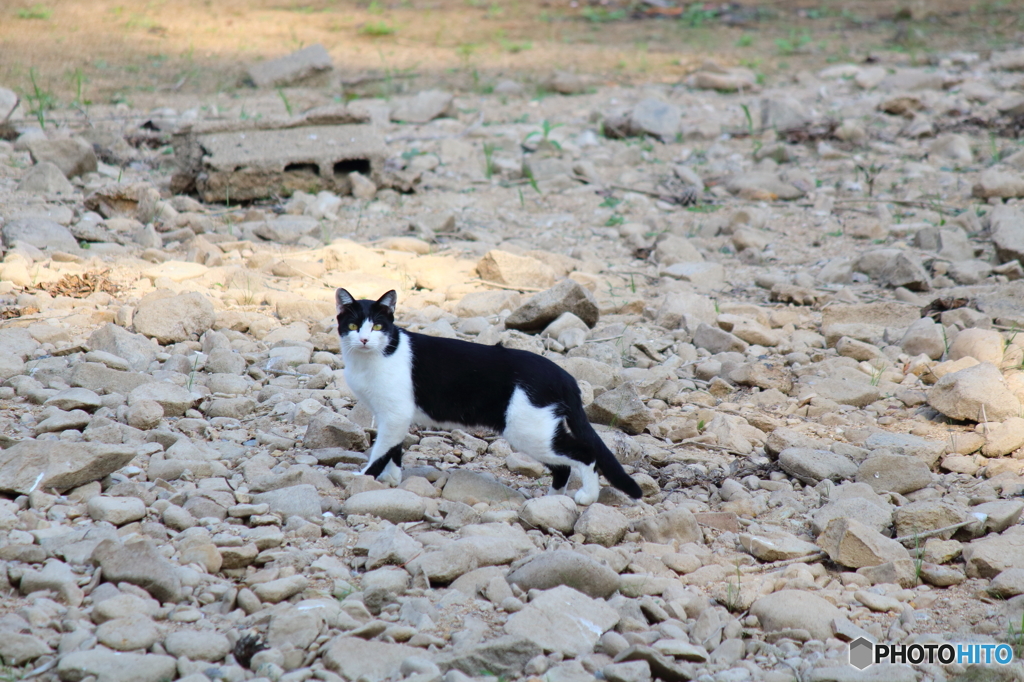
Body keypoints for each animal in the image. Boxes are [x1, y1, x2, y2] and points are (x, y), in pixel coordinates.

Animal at [335, 284, 638, 501]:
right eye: (352, 326)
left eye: (377, 326)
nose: (364, 339)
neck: (371, 358)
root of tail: (564, 376)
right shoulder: (391, 414)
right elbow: (394, 449)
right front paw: (391, 480)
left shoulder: (395, 412)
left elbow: (381, 451)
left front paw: (363, 476)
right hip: (539, 430)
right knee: (563, 465)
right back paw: (550, 502)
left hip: (529, 431)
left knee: (585, 453)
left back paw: (586, 497)